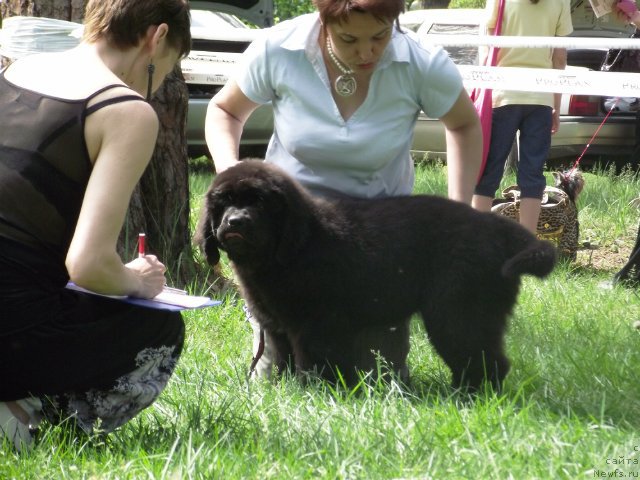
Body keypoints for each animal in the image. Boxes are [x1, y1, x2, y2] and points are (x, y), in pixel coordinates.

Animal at [194, 160, 556, 390]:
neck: (294, 247)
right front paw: (284, 389)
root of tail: (501, 228)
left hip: (458, 312)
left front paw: (316, 392)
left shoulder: (318, 323)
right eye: (223, 203)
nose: (236, 222)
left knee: (485, 359)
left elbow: (314, 362)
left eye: (259, 202)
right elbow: (283, 359)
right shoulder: (278, 325)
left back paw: (470, 398)